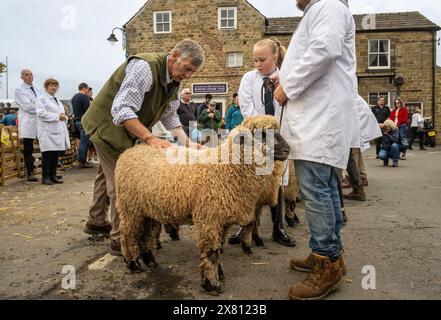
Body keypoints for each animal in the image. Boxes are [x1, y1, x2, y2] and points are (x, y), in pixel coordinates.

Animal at [115, 115, 290, 296]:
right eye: (262, 134)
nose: (287, 150)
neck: (226, 168)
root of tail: (131, 151)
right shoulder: (209, 218)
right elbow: (211, 252)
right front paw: (211, 284)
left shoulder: (222, 220)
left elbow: (219, 248)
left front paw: (220, 274)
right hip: (130, 207)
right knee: (127, 234)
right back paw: (133, 263)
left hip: (148, 209)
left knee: (147, 233)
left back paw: (149, 259)